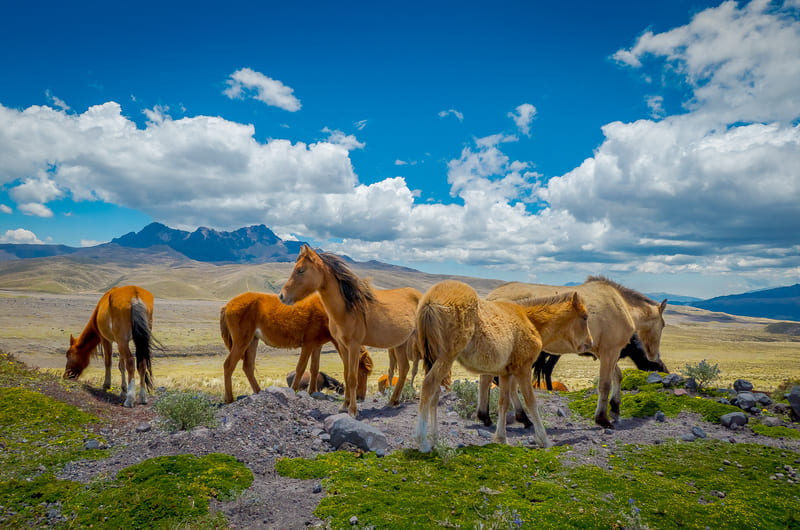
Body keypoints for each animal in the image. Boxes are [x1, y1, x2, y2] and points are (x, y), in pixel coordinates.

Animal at [219, 291, 373, 404]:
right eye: (363, 373)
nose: (361, 397)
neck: (327, 313)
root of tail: (228, 305)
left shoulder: (317, 345)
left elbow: (314, 368)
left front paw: (312, 391)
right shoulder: (308, 344)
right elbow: (301, 368)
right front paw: (294, 390)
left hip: (252, 340)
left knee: (248, 367)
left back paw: (258, 391)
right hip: (242, 341)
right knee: (228, 365)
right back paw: (229, 399)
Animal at [279, 245, 421, 416]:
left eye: (300, 270)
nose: (282, 296)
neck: (347, 309)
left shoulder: (353, 346)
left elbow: (352, 378)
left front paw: (353, 410)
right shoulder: (343, 346)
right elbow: (347, 376)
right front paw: (344, 406)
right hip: (400, 343)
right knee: (405, 368)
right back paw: (393, 401)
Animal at [414, 280, 593, 452]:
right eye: (585, 317)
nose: (590, 343)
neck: (530, 321)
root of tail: (429, 301)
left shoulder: (506, 373)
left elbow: (504, 402)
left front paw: (501, 438)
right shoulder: (523, 369)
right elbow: (531, 401)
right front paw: (544, 440)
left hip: (435, 360)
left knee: (435, 393)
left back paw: (435, 440)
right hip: (446, 358)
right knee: (429, 385)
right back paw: (423, 442)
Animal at [487, 277, 667, 428]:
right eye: (664, 325)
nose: (654, 356)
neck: (624, 307)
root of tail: (490, 298)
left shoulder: (603, 352)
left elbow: (617, 376)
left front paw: (615, 408)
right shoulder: (610, 351)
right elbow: (605, 384)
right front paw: (602, 419)